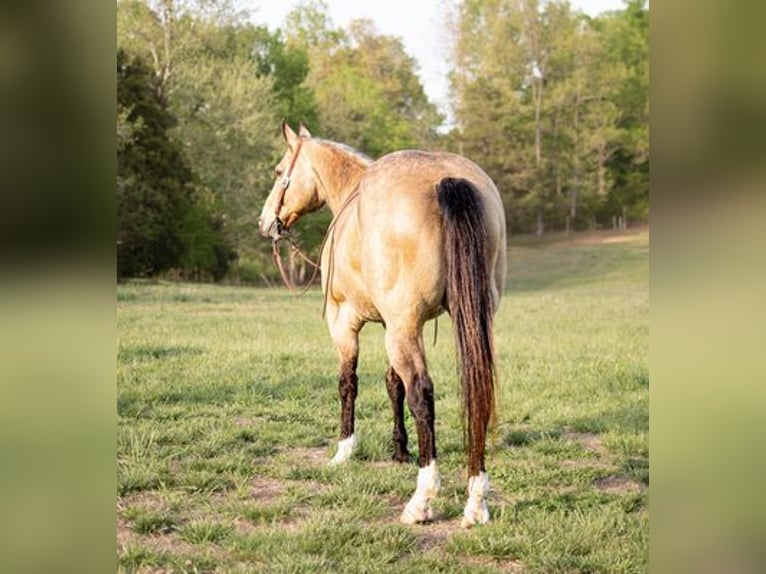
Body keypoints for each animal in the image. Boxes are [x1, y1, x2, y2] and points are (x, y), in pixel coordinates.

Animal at [260, 122, 508, 532]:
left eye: (280, 171)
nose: (266, 223)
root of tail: (446, 178)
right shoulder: (395, 324)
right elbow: (394, 386)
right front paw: (400, 450)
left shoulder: (346, 323)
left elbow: (348, 383)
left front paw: (345, 449)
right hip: (456, 324)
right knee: (478, 391)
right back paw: (476, 501)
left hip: (401, 330)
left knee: (423, 394)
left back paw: (422, 500)